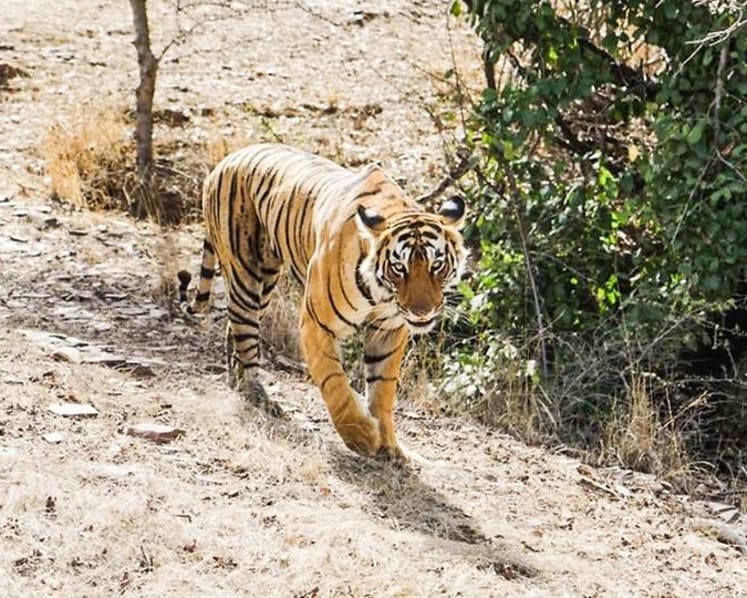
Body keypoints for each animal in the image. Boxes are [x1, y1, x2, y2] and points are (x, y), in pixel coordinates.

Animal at [178, 143, 467, 459]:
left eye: (436, 265)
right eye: (399, 267)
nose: (422, 311)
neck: (382, 293)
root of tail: (226, 160)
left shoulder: (388, 330)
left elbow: (382, 389)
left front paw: (390, 447)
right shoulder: (316, 323)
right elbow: (334, 382)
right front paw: (361, 436)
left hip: (265, 281)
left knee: (234, 327)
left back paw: (238, 382)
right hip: (246, 275)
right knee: (244, 332)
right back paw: (256, 394)